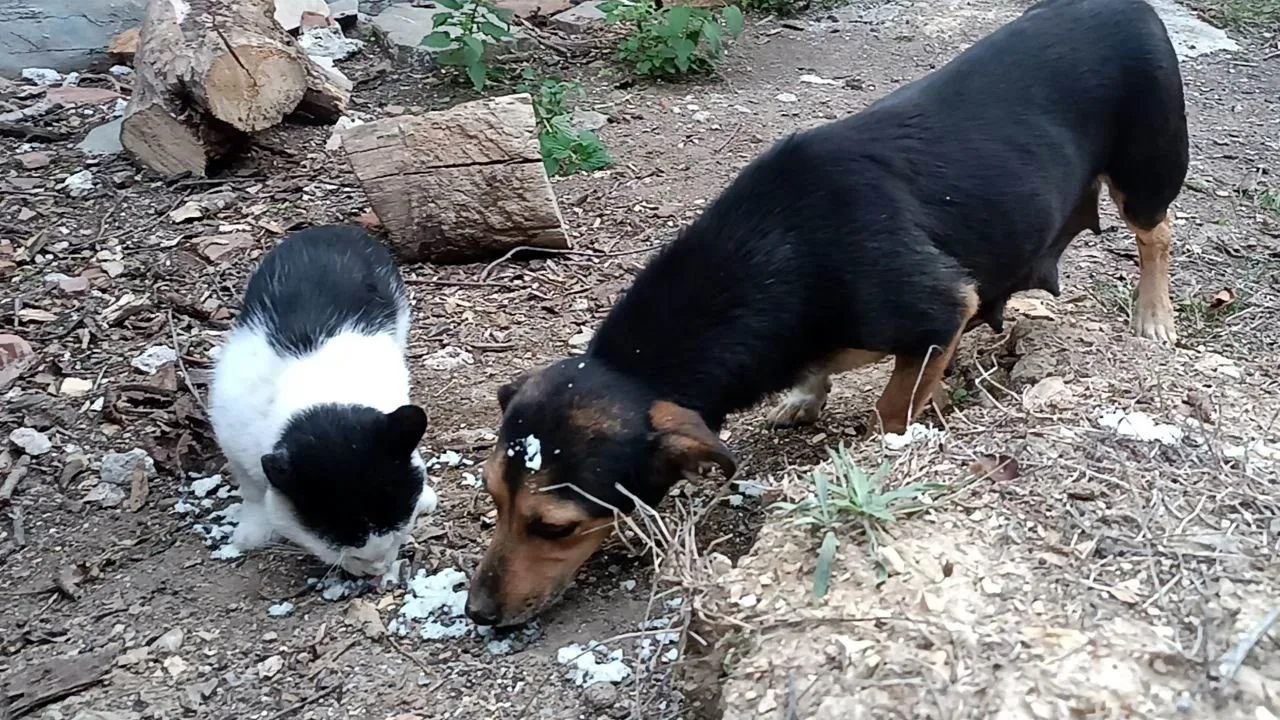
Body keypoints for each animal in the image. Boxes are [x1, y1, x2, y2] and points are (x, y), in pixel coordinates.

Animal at [206, 226, 435, 573]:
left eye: (397, 527)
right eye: (343, 544)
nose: (378, 565)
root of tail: (333, 229)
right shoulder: (232, 437)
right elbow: (253, 490)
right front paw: (252, 532)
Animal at [468, 0, 1187, 622]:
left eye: (553, 527)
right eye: (493, 496)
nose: (477, 614)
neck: (774, 252)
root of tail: (1128, 6)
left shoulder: (938, 310)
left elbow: (890, 410)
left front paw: (891, 440)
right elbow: (826, 372)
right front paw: (806, 396)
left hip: (1147, 170)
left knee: (1157, 235)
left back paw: (1154, 316)